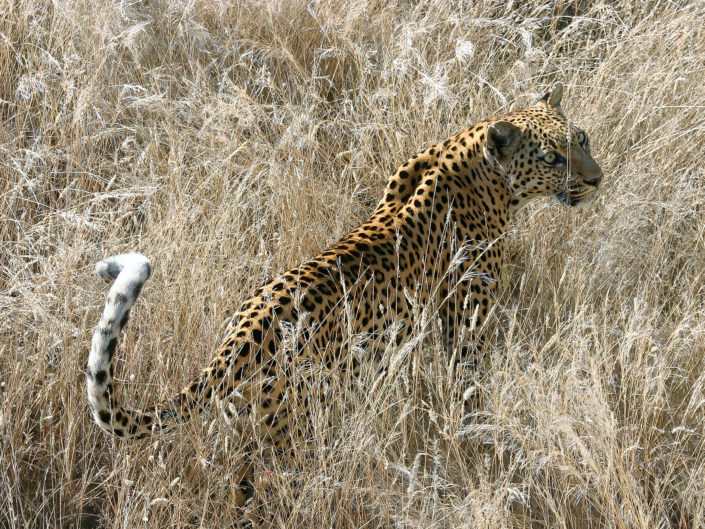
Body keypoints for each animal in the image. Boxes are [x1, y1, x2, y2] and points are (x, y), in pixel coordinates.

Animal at [86, 82, 602, 503]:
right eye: (552, 158)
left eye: (581, 139)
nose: (596, 179)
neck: (478, 161)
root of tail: (243, 336)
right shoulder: (465, 325)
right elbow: (473, 390)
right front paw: (483, 438)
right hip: (293, 436)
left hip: (250, 430)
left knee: (239, 487)